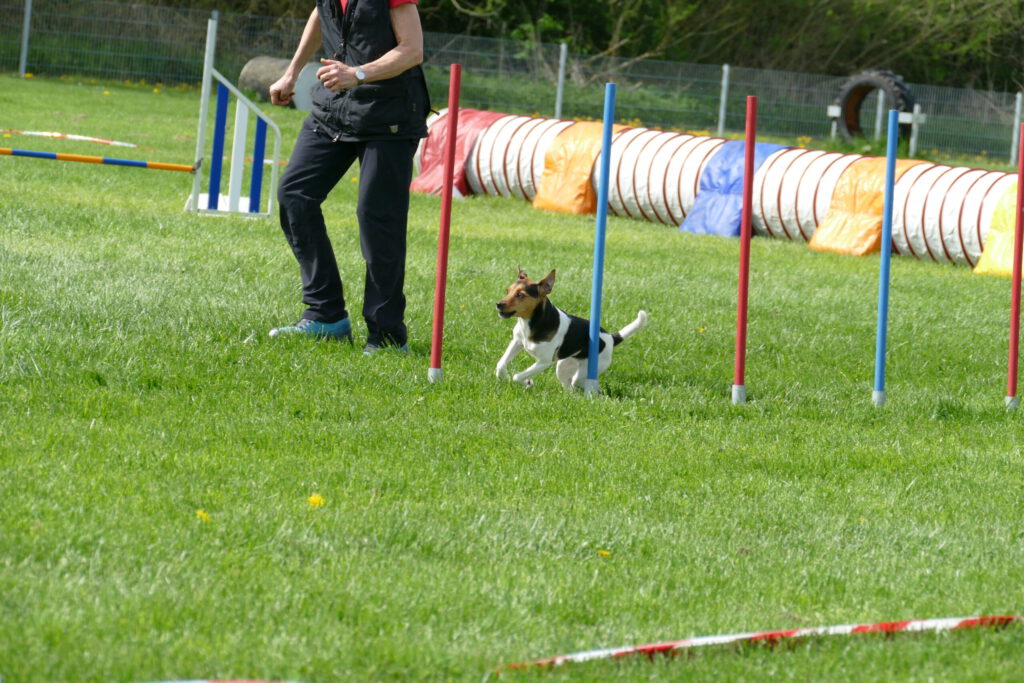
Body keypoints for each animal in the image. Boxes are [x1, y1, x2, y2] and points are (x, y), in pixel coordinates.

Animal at [495, 267, 647, 389]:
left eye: (520, 294)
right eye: (507, 291)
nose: (498, 304)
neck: (530, 322)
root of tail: (611, 337)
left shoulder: (544, 361)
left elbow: (517, 376)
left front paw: (527, 381)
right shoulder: (517, 342)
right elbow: (500, 364)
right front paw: (506, 376)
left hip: (587, 369)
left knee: (576, 383)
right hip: (563, 366)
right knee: (569, 385)